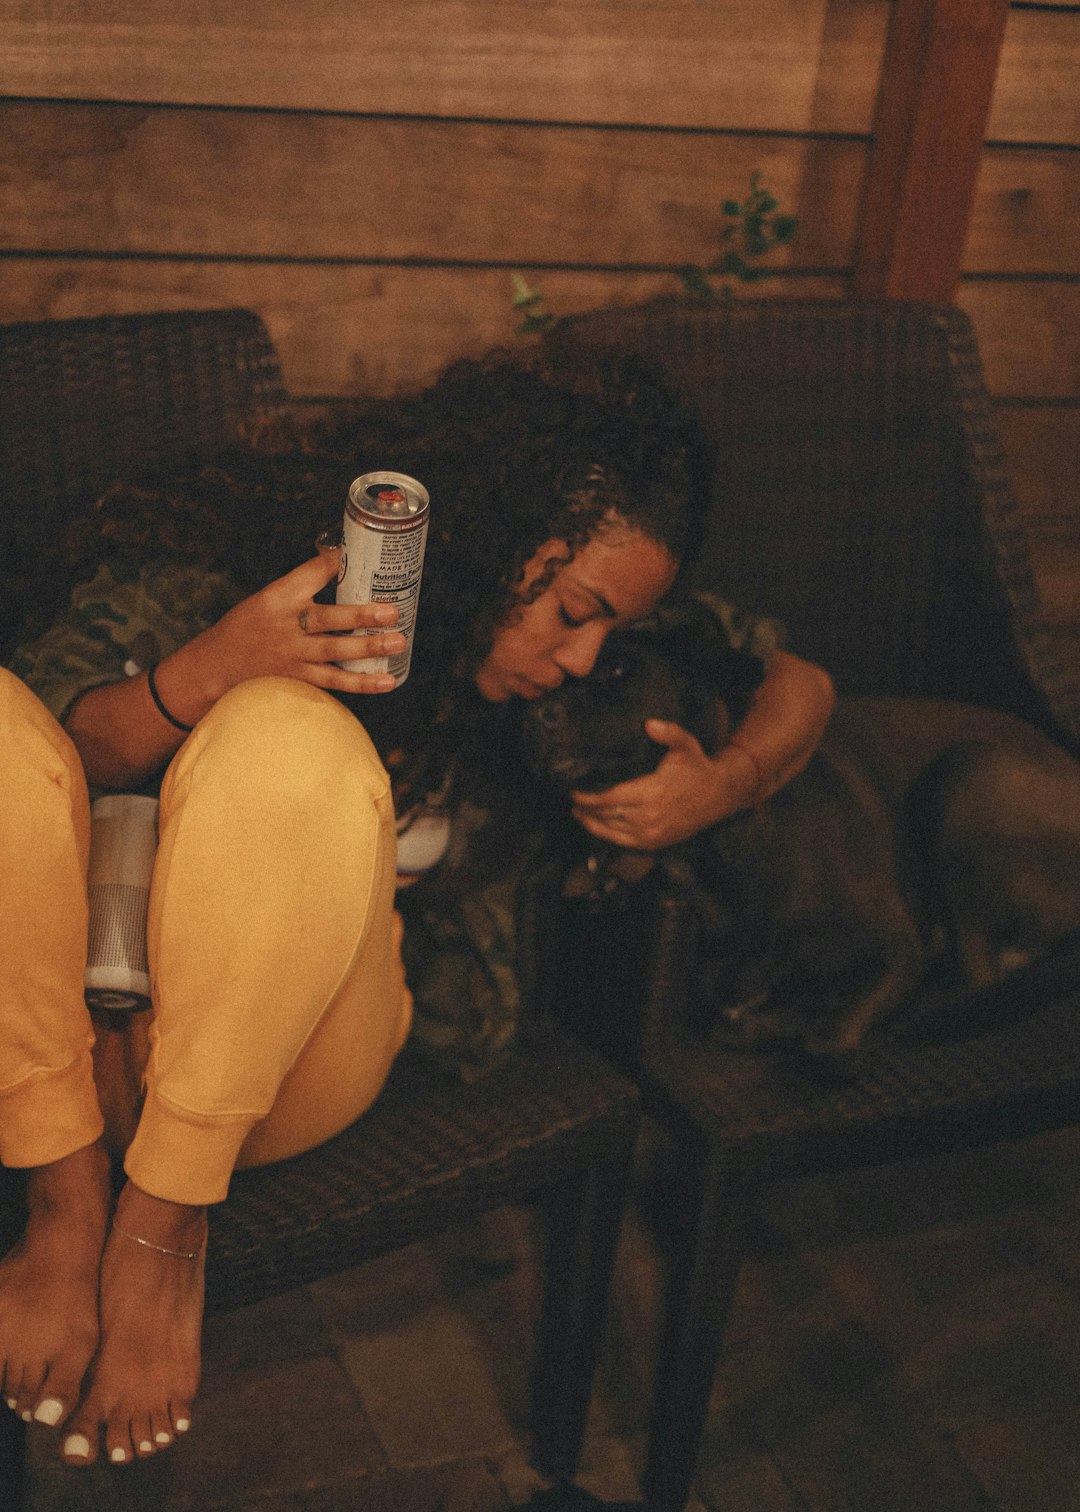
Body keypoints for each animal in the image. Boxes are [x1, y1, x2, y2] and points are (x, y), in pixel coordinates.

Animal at [520, 598, 1076, 1052]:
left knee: (975, 982)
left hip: (970, 771)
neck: (704, 851)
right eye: (555, 678)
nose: (538, 713)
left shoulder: (896, 949)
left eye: (619, 669)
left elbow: (827, 1040)